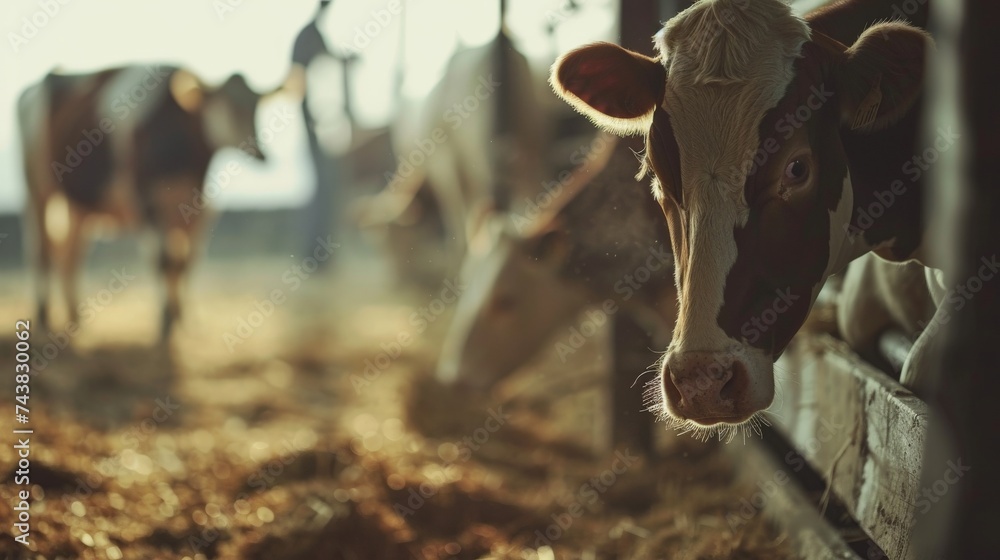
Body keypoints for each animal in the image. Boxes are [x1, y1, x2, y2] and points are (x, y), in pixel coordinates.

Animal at [18, 66, 270, 340]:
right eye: (231, 107)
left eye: (257, 107)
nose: (262, 154)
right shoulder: (146, 200)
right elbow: (164, 261)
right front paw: (166, 323)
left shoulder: (196, 210)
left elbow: (183, 263)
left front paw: (183, 320)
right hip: (36, 189)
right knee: (40, 251)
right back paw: (43, 319)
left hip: (79, 205)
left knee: (70, 258)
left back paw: (76, 319)